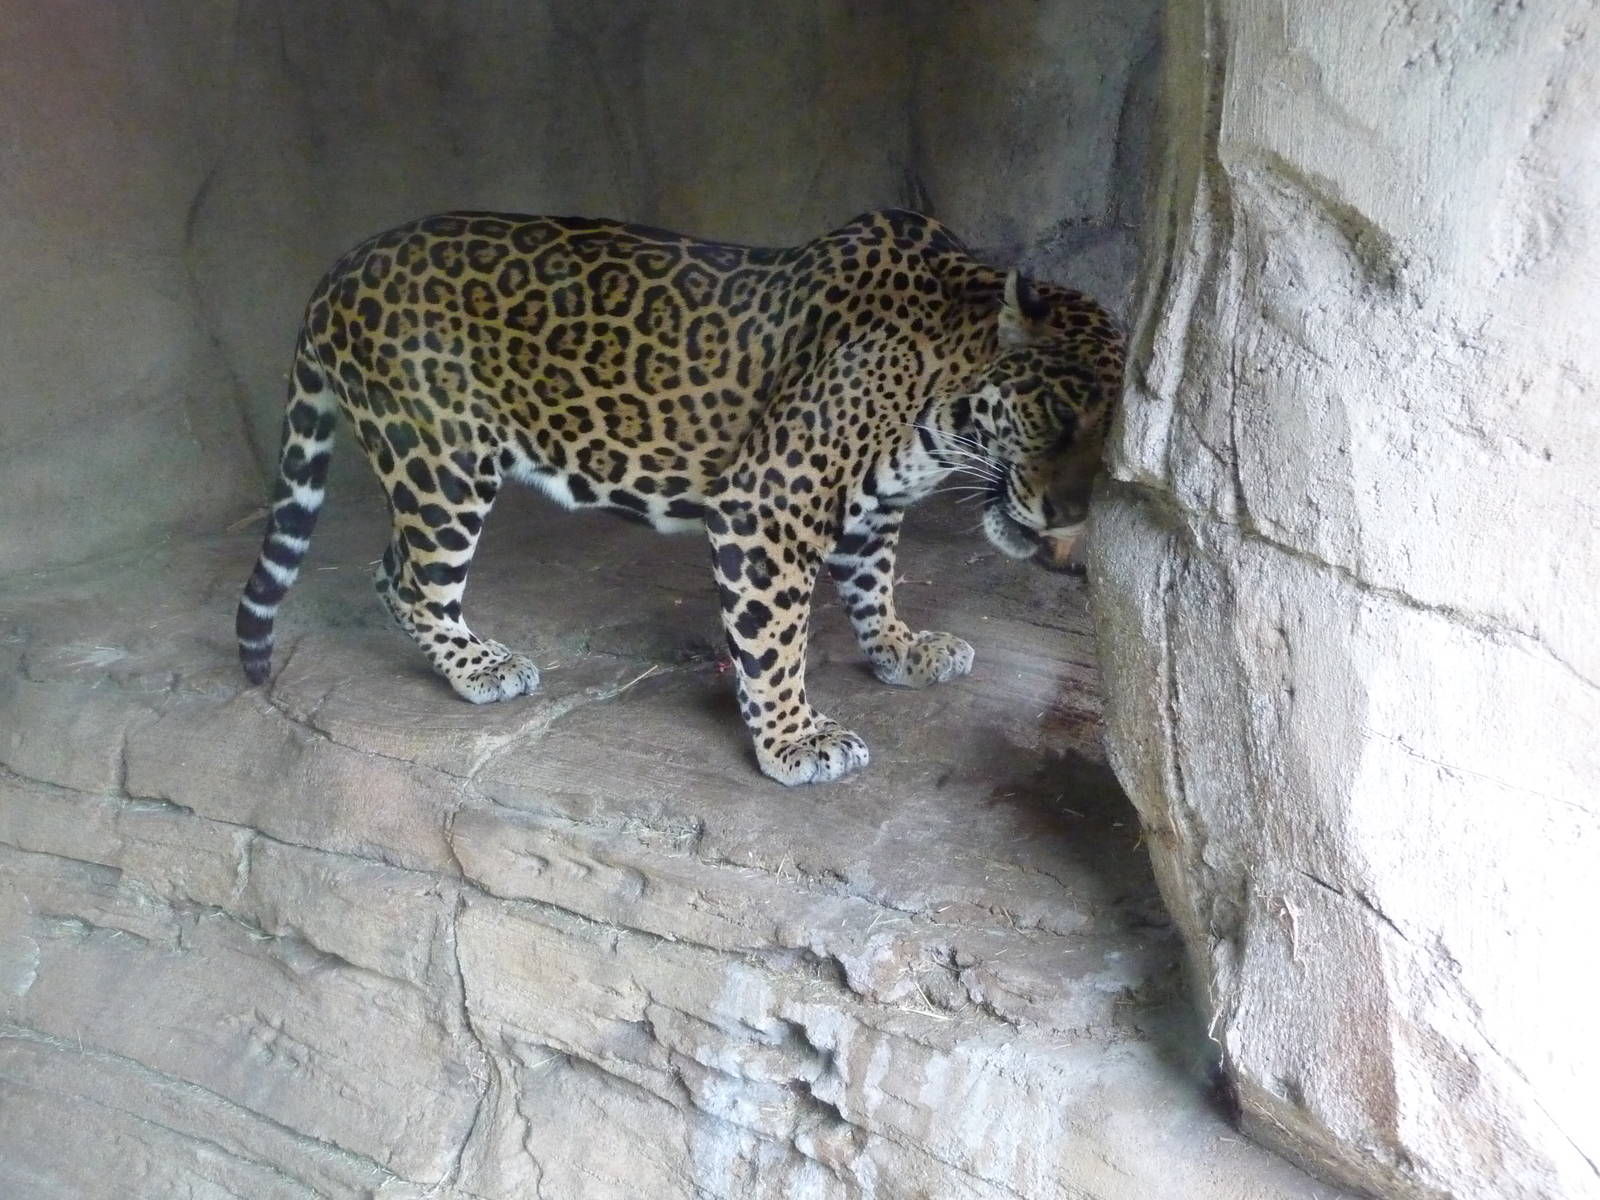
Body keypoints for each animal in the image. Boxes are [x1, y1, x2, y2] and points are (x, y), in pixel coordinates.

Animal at [236, 209, 1123, 785]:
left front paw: (901, 650)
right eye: (1060, 413)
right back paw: (479, 666)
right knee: (410, 577)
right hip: (441, 460)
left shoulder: (872, 509)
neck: (941, 395)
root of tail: (340, 268)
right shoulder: (769, 503)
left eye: (1112, 440)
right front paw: (794, 742)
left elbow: (873, 585)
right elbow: (777, 638)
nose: (1070, 516)